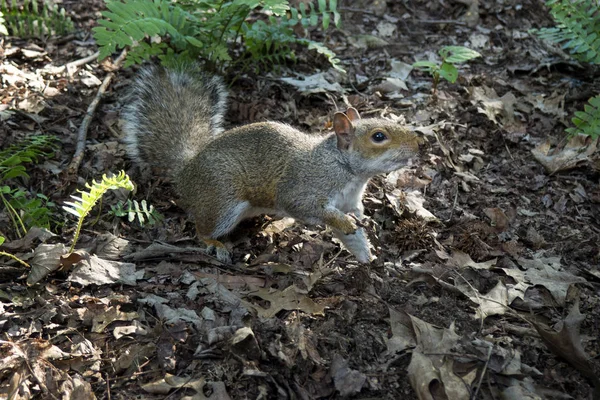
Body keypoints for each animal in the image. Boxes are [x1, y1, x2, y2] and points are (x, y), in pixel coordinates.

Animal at [122, 65, 422, 266]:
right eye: (379, 137)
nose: (419, 144)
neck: (346, 170)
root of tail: (186, 170)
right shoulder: (304, 187)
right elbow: (307, 207)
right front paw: (343, 222)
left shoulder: (349, 200)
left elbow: (354, 232)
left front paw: (367, 258)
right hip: (222, 199)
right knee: (201, 229)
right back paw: (215, 244)